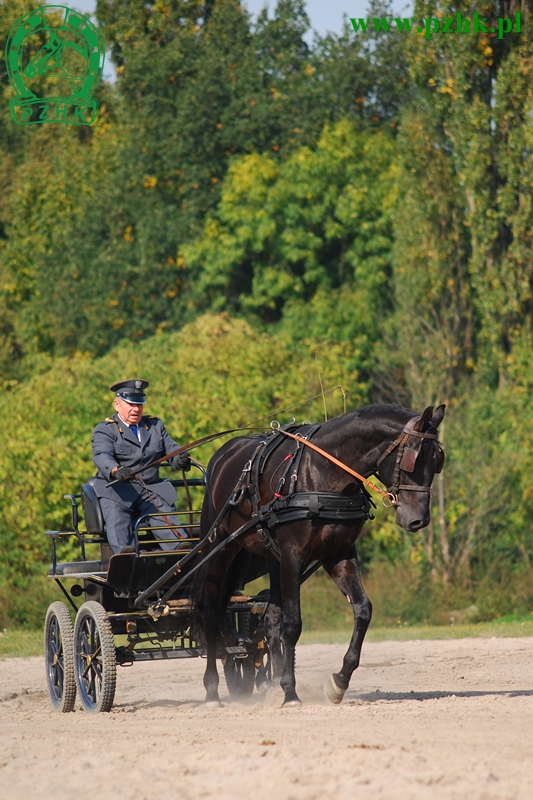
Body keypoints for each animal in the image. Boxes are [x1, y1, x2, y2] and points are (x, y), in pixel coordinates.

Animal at [197, 406, 442, 708]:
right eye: (414, 460)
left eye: (437, 461)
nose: (419, 520)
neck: (323, 475)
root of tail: (223, 454)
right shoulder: (293, 556)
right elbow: (293, 624)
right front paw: (290, 692)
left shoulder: (338, 555)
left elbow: (362, 610)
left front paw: (338, 682)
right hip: (220, 548)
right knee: (212, 615)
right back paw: (212, 690)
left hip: (271, 557)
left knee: (270, 620)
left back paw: (271, 685)